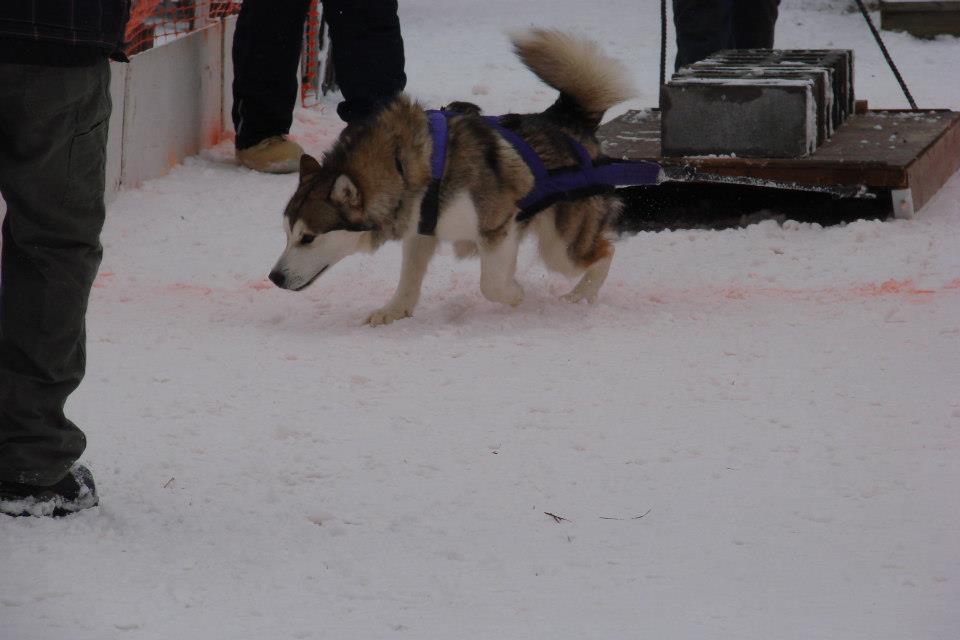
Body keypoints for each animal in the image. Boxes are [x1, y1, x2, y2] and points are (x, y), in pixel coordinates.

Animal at [268, 28, 636, 324]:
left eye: (307, 238)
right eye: (286, 233)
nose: (274, 278)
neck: (408, 168)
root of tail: (567, 120)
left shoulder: (497, 227)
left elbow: (491, 285)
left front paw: (516, 294)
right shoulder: (422, 232)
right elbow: (409, 278)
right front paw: (394, 310)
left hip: (560, 246)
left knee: (605, 252)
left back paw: (580, 296)